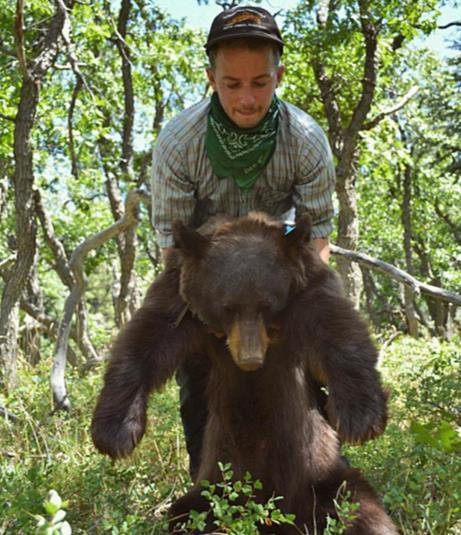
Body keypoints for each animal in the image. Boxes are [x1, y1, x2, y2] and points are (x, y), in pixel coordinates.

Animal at [91, 211, 398, 532]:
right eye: (228, 308)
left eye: (266, 305)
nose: (250, 358)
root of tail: (276, 515)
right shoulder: (178, 293)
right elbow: (148, 337)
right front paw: (115, 433)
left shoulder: (308, 286)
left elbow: (338, 329)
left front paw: (360, 417)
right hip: (215, 485)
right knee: (186, 512)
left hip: (321, 474)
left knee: (356, 504)